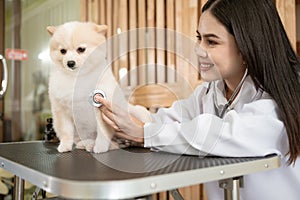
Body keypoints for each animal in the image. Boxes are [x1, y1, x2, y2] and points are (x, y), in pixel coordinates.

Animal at [47, 21, 150, 153]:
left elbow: (103, 132)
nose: (70, 63)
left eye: (81, 49)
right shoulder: (61, 110)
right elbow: (65, 131)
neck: (77, 77)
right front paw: (65, 145)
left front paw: (100, 146)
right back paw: (87, 144)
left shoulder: (102, 110)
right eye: (63, 51)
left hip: (138, 112)